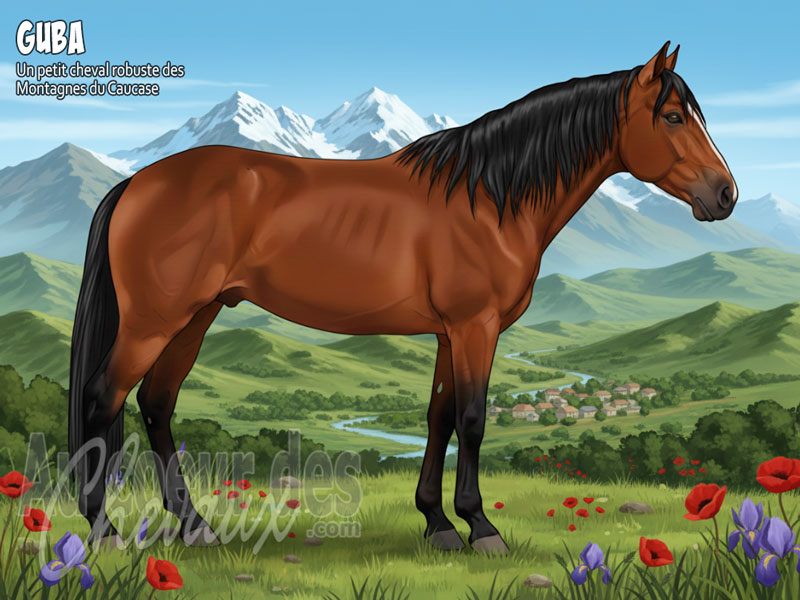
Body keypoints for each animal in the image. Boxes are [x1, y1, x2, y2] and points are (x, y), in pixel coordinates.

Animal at [69, 41, 737, 553]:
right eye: (673, 116)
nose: (725, 194)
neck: (488, 197)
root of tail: (136, 182)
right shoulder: (475, 327)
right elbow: (473, 420)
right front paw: (481, 528)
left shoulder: (449, 332)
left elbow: (439, 418)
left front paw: (438, 523)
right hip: (154, 320)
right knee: (106, 400)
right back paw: (104, 531)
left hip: (195, 317)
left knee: (157, 404)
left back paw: (195, 525)